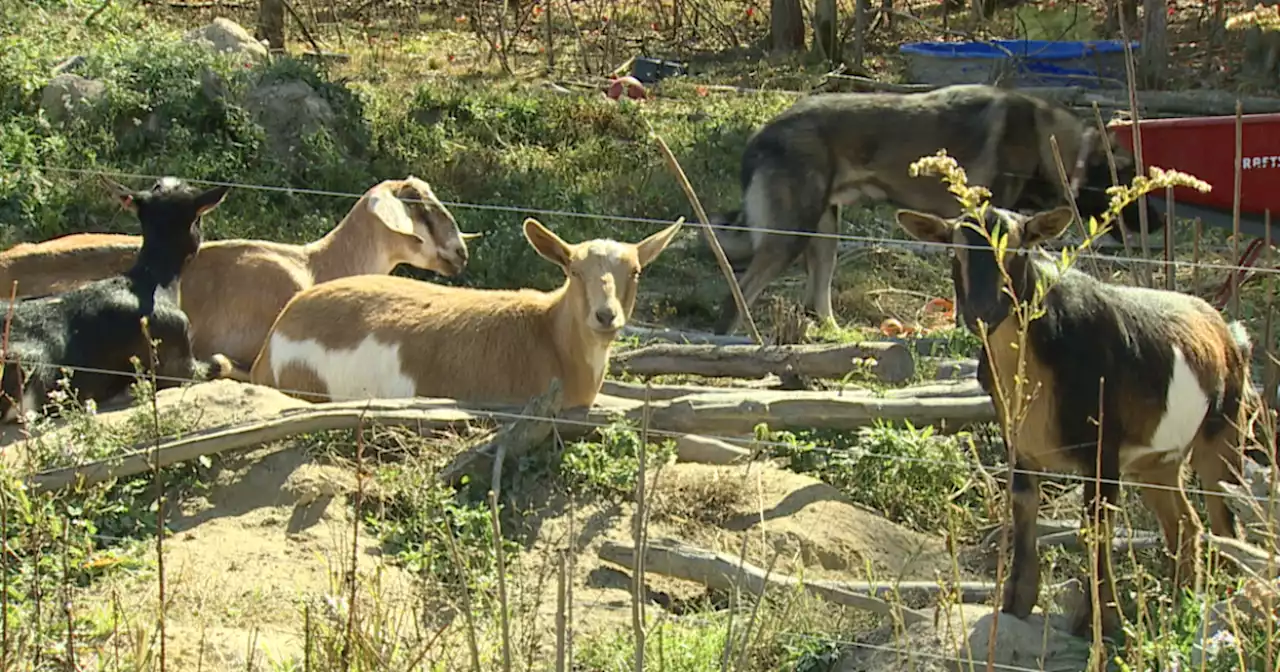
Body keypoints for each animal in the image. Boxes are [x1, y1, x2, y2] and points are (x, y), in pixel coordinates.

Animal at [896, 206, 1254, 640]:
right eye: (955, 249)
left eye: (1018, 249)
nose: (981, 310)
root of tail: (1229, 333)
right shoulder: (1019, 445)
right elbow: (1024, 508)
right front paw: (1016, 602)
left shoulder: (1103, 451)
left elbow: (1096, 527)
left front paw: (1100, 623)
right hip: (1157, 460)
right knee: (1186, 524)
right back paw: (1180, 602)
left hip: (1223, 434)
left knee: (1225, 520)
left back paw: (1227, 601)